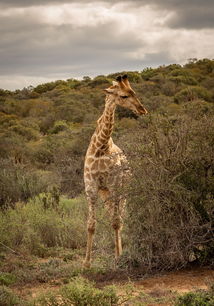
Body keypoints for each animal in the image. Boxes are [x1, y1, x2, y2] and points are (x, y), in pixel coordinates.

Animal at [83, 74, 148, 268]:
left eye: (134, 92)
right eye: (124, 96)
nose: (142, 110)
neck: (101, 147)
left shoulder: (115, 185)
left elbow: (116, 222)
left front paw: (118, 258)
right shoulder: (91, 187)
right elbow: (91, 224)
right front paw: (86, 263)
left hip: (122, 191)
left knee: (120, 219)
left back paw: (121, 252)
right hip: (106, 193)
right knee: (114, 215)